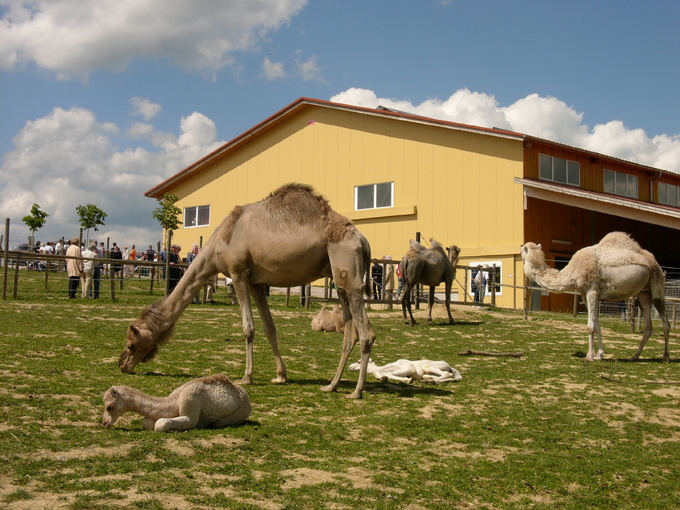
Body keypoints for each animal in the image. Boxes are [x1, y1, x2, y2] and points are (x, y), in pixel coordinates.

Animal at [99, 372, 251, 432]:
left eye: (109, 407)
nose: (104, 423)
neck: (173, 401)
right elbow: (146, 421)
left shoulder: (190, 405)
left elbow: (160, 424)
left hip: (240, 412)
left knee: (220, 422)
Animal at [121, 183, 378, 398]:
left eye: (132, 343)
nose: (122, 364)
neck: (219, 240)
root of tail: (363, 240)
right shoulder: (257, 283)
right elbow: (270, 328)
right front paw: (280, 376)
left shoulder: (238, 274)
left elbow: (248, 328)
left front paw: (246, 377)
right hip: (339, 280)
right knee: (350, 333)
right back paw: (331, 385)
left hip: (349, 276)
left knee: (367, 333)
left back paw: (356, 392)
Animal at [520, 231, 668, 362]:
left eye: (522, 250)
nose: (519, 246)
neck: (572, 271)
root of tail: (655, 263)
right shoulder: (584, 292)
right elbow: (597, 324)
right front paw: (599, 355)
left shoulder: (592, 290)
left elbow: (590, 326)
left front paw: (589, 357)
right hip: (643, 292)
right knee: (648, 326)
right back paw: (634, 356)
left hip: (657, 284)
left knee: (665, 322)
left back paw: (665, 357)